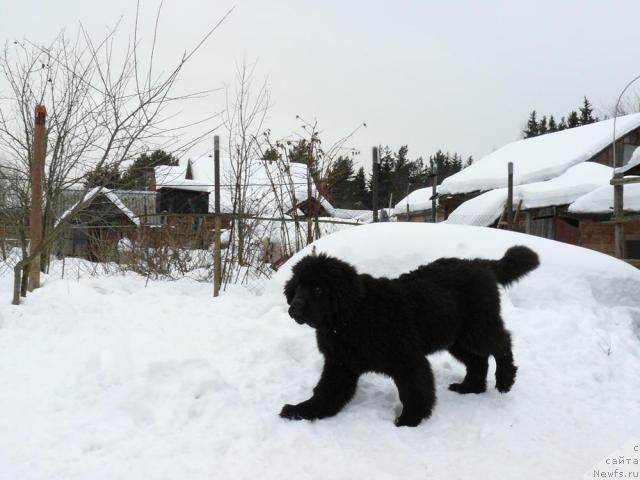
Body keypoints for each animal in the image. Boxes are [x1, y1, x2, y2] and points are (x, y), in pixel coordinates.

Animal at [282, 248, 536, 428]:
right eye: (298, 287)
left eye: (318, 289)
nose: (294, 308)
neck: (351, 317)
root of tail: (478, 263)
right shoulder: (340, 365)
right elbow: (326, 392)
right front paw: (303, 411)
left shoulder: (407, 359)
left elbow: (415, 390)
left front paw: (409, 420)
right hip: (455, 337)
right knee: (477, 360)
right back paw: (470, 388)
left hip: (477, 329)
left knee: (502, 343)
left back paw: (504, 379)